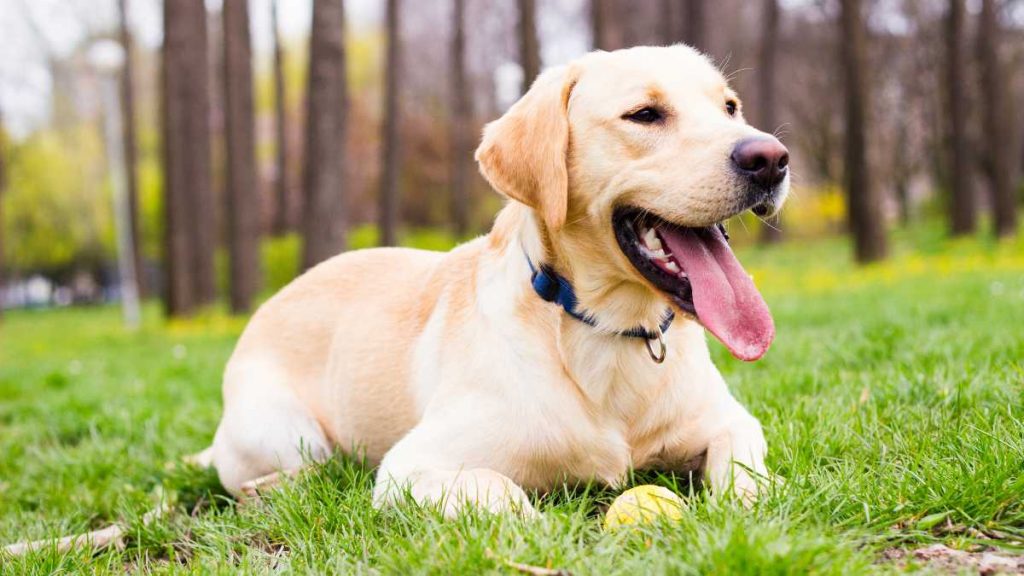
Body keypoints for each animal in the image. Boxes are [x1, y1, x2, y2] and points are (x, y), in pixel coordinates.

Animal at [207, 43, 786, 510]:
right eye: (644, 114)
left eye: (730, 107)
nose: (771, 158)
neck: (610, 330)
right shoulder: (411, 466)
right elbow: (501, 492)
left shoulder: (730, 420)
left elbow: (744, 466)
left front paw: (759, 495)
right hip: (287, 430)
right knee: (296, 470)